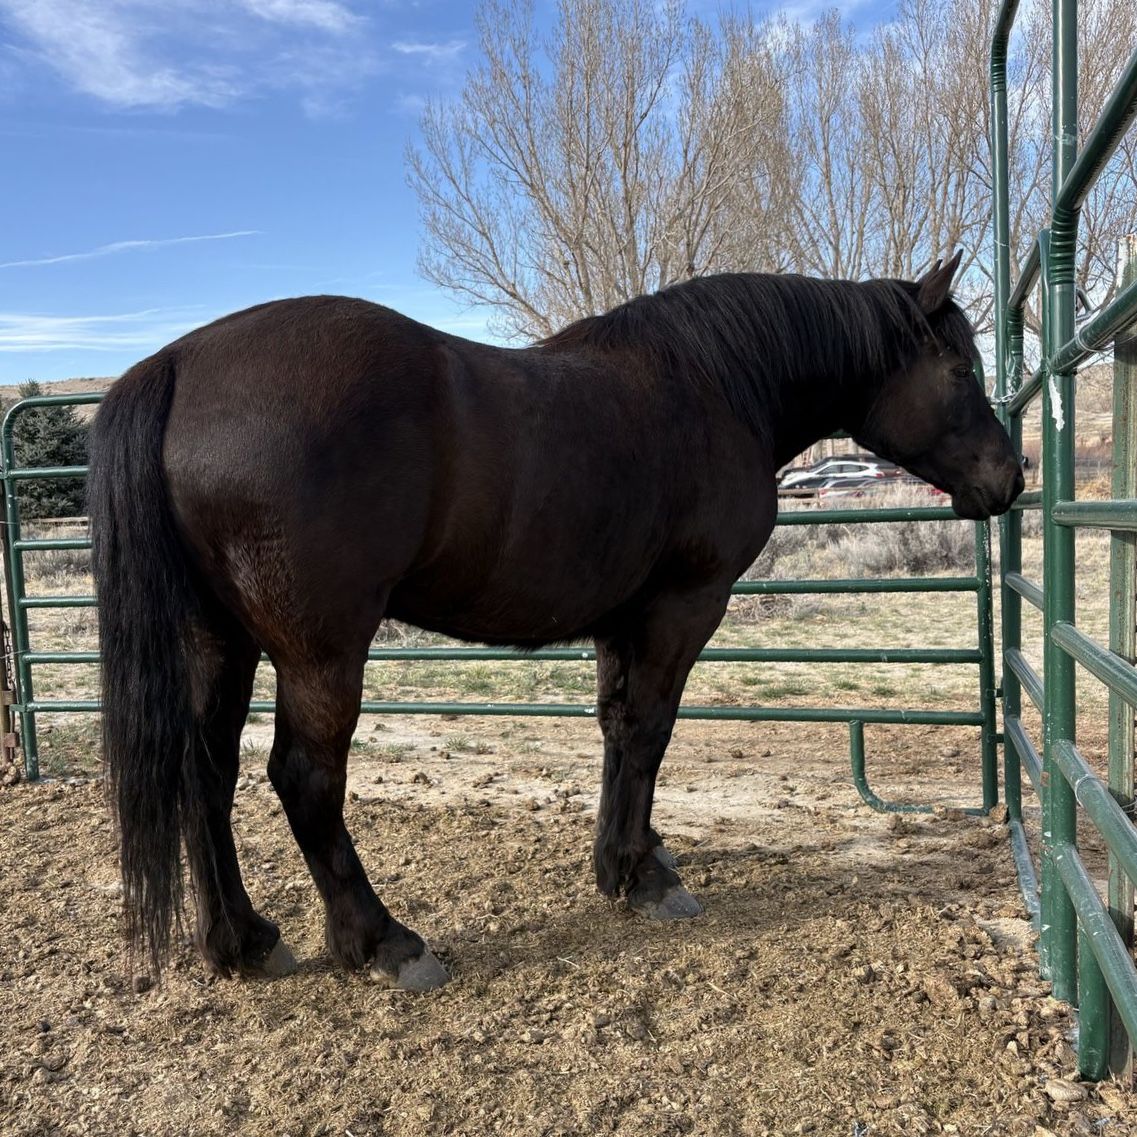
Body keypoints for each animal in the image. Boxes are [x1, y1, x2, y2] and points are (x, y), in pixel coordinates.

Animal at [88, 252, 1023, 991]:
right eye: (961, 372)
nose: (1009, 477)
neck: (717, 385)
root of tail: (178, 363)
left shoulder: (621, 616)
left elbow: (616, 729)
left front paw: (626, 858)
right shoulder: (684, 603)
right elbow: (649, 730)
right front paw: (642, 879)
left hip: (220, 639)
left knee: (203, 772)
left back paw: (242, 941)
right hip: (321, 650)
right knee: (303, 778)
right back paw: (384, 940)